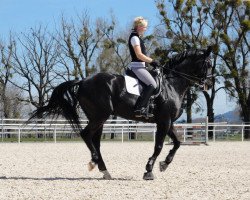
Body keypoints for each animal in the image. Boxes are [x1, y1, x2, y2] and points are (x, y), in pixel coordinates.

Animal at [29, 46, 213, 180]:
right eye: (209, 65)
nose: (208, 84)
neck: (171, 85)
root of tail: (83, 81)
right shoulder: (164, 121)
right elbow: (159, 146)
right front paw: (149, 170)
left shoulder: (168, 122)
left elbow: (177, 143)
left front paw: (164, 164)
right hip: (100, 116)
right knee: (86, 135)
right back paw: (94, 162)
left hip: (99, 118)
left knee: (95, 141)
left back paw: (104, 170)